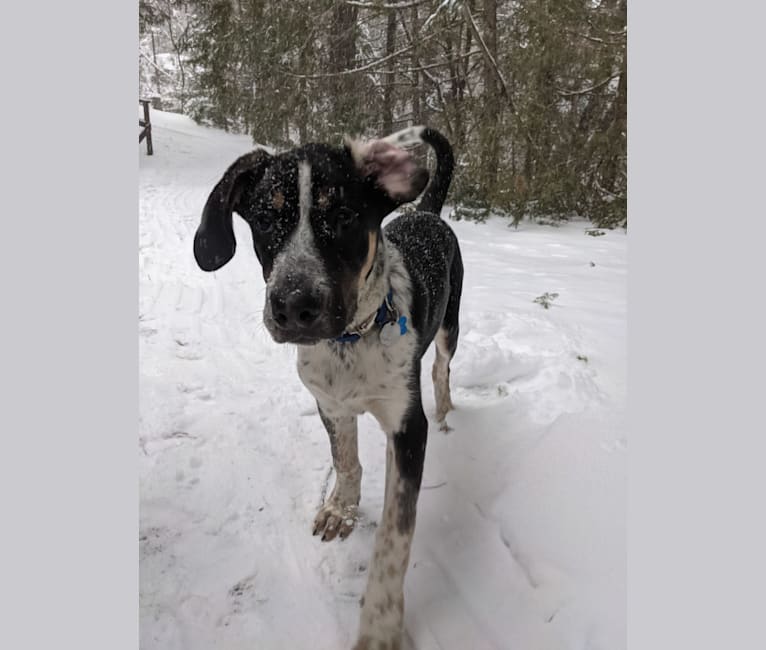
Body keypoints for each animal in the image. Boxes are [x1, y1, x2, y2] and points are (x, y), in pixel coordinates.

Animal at [195, 126, 464, 648]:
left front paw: (380, 624)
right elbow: (346, 459)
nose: (293, 307)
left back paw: (446, 410)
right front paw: (341, 510)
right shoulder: (330, 402)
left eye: (342, 216)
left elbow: (395, 536)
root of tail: (426, 211)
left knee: (442, 369)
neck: (350, 341)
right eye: (264, 218)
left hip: (450, 325)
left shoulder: (407, 427)